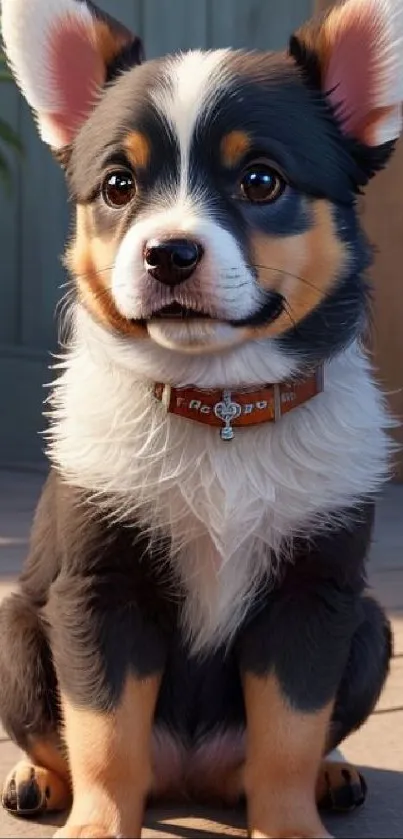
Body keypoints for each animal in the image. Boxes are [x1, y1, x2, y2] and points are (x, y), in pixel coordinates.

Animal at [0, 0, 402, 836]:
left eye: (260, 180)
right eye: (117, 184)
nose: (169, 254)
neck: (217, 403)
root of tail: (187, 773)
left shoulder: (313, 596)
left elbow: (288, 734)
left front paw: (289, 822)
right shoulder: (100, 592)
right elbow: (103, 734)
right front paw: (96, 822)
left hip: (370, 627)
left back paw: (332, 770)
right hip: (17, 633)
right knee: (59, 734)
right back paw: (37, 778)